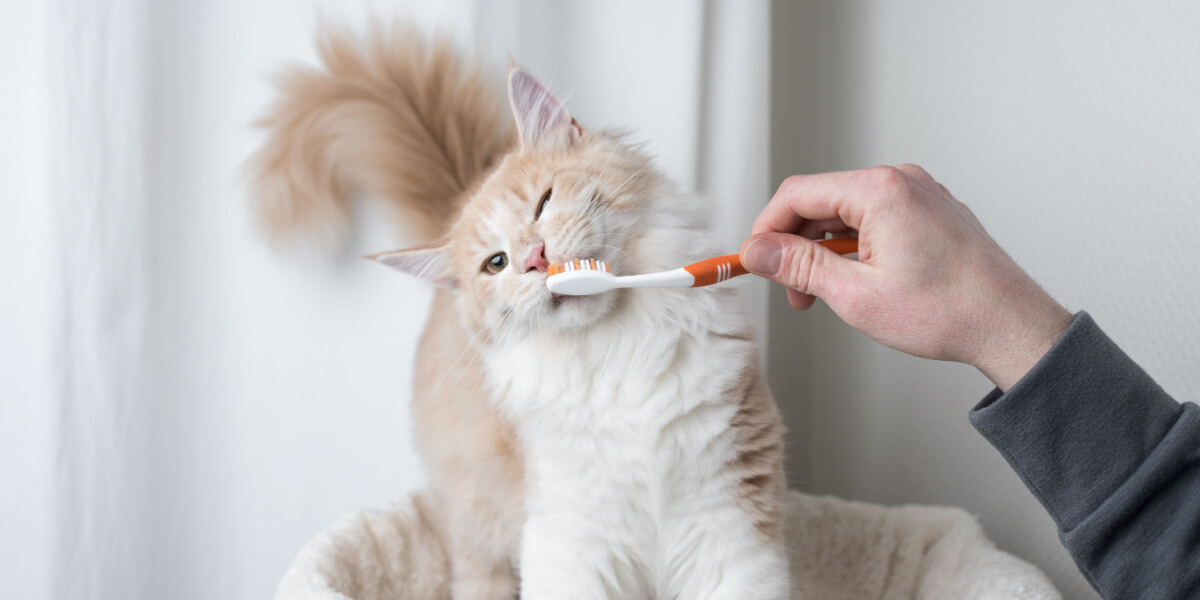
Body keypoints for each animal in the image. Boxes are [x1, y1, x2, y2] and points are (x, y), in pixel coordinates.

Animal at [249, 25, 792, 597]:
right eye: (496, 263)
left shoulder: (729, 517)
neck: (616, 347)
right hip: (476, 525)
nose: (535, 259)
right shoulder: (571, 534)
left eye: (544, 202)